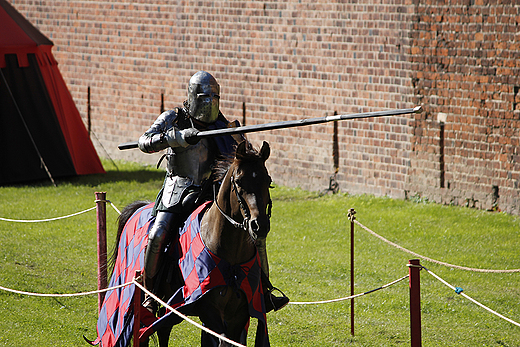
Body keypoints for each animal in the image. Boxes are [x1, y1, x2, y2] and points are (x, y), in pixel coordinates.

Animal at [108, 141, 274, 347]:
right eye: (239, 181)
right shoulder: (209, 310)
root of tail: (139, 207)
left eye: (268, 181)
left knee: (163, 330)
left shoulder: (240, 314)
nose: (259, 225)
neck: (231, 262)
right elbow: (222, 340)